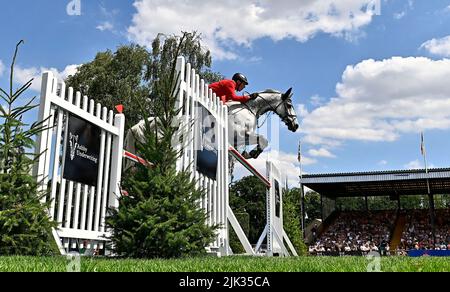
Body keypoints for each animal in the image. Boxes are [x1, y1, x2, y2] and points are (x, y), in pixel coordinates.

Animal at [123, 88, 298, 162]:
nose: (295, 126)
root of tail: (140, 124)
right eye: (289, 105)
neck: (250, 108)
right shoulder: (237, 134)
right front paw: (253, 153)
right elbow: (263, 139)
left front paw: (249, 153)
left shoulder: (236, 140)